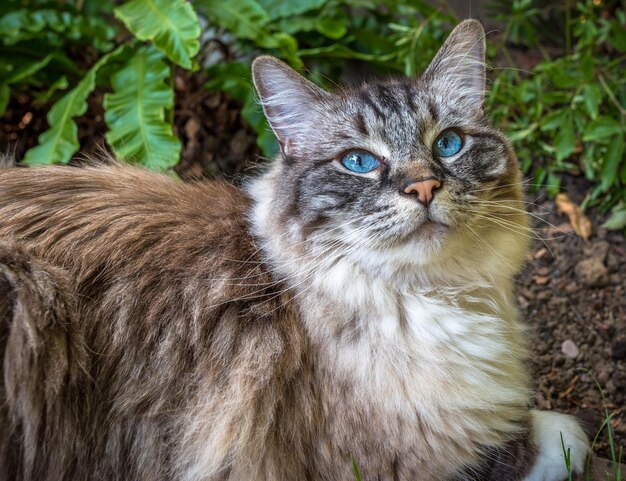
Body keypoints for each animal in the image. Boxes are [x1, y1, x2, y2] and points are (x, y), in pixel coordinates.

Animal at [0, 19, 588, 480]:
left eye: (448, 144)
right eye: (359, 162)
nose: (423, 188)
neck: (428, 296)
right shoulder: (393, 458)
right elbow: (527, 444)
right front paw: (562, 437)